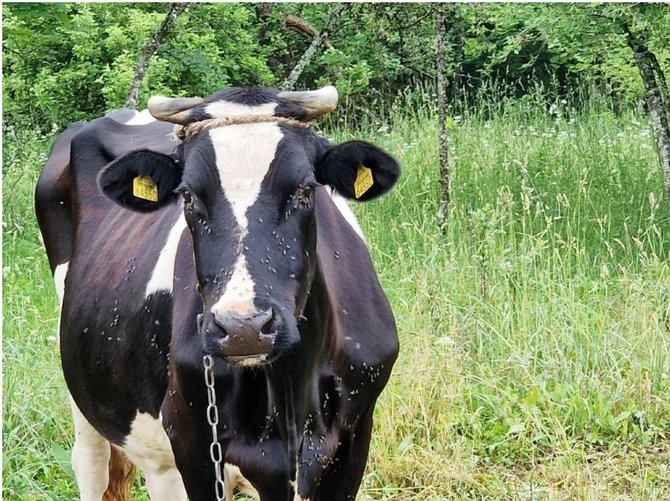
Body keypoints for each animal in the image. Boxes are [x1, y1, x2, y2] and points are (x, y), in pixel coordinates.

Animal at [36, 87, 402, 500]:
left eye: (305, 190)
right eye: (188, 196)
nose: (244, 327)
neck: (289, 392)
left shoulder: (354, 436)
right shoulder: (193, 440)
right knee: (91, 462)